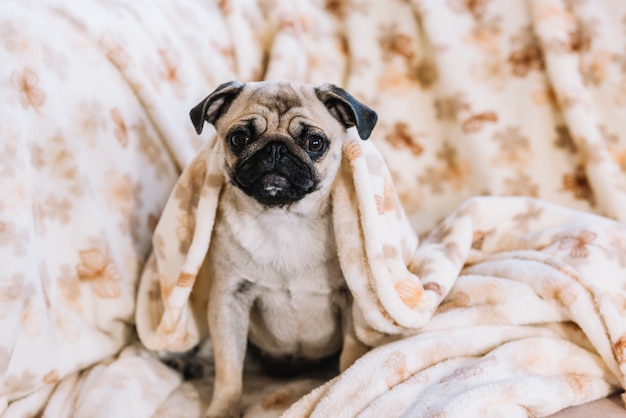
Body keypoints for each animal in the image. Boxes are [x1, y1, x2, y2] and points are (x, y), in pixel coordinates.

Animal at [189, 80, 376, 416]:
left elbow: (351, 353)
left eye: (315, 143)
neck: (283, 218)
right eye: (239, 138)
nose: (276, 148)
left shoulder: (353, 301)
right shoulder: (228, 299)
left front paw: (340, 387)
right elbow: (228, 369)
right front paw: (223, 408)